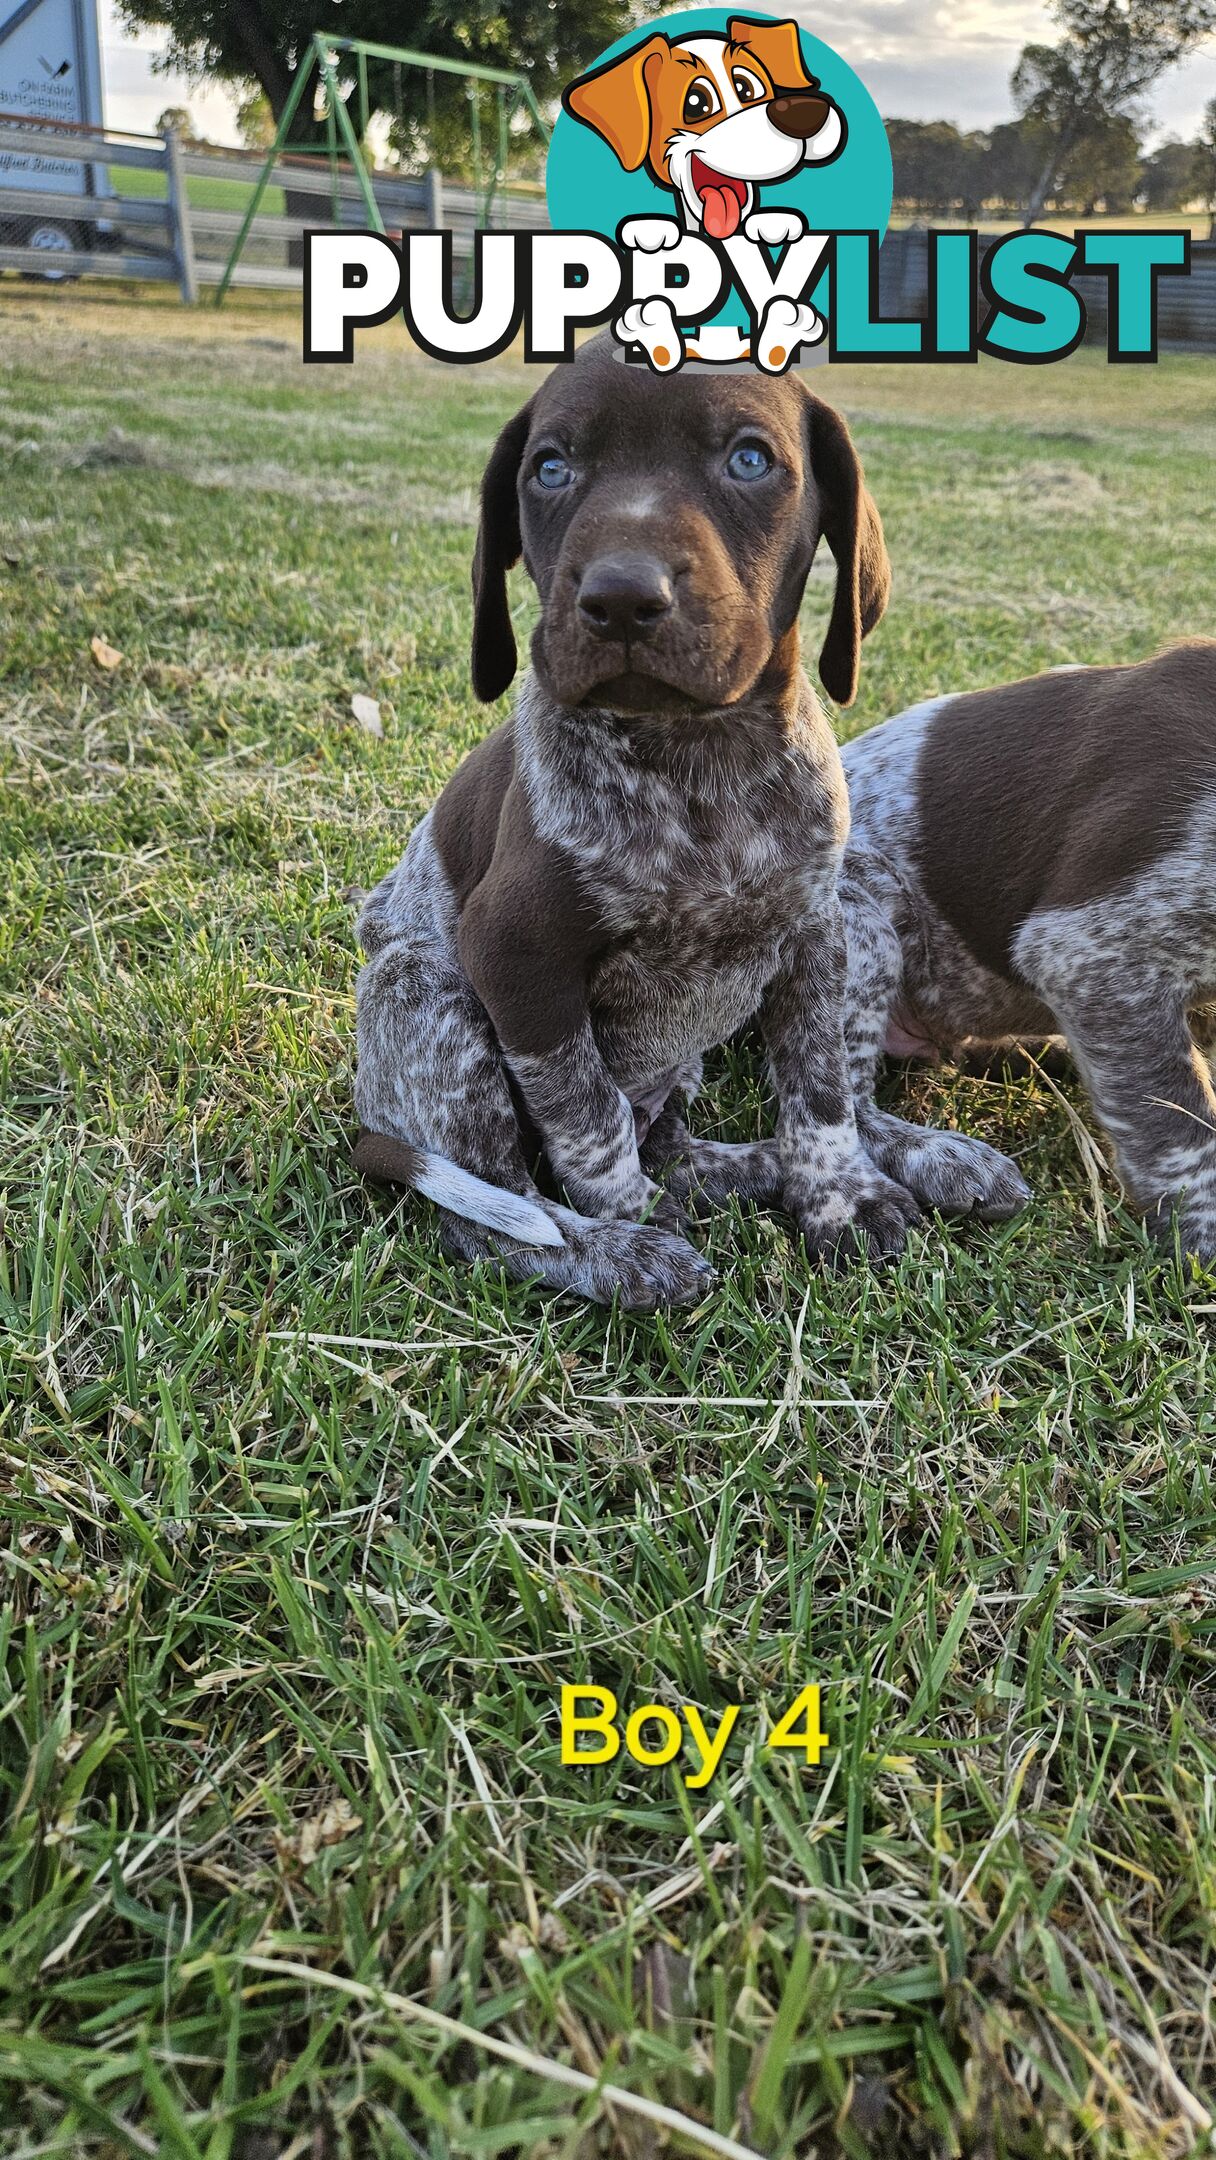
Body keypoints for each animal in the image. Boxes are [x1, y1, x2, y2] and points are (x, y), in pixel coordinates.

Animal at [356, 330, 928, 1304]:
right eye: (550, 469)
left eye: (750, 460)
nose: (622, 596)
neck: (704, 766)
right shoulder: (516, 961)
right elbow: (589, 1121)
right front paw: (632, 1230)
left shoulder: (815, 935)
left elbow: (819, 1091)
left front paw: (838, 1196)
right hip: (427, 996)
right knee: (499, 1213)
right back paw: (615, 1252)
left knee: (675, 1145)